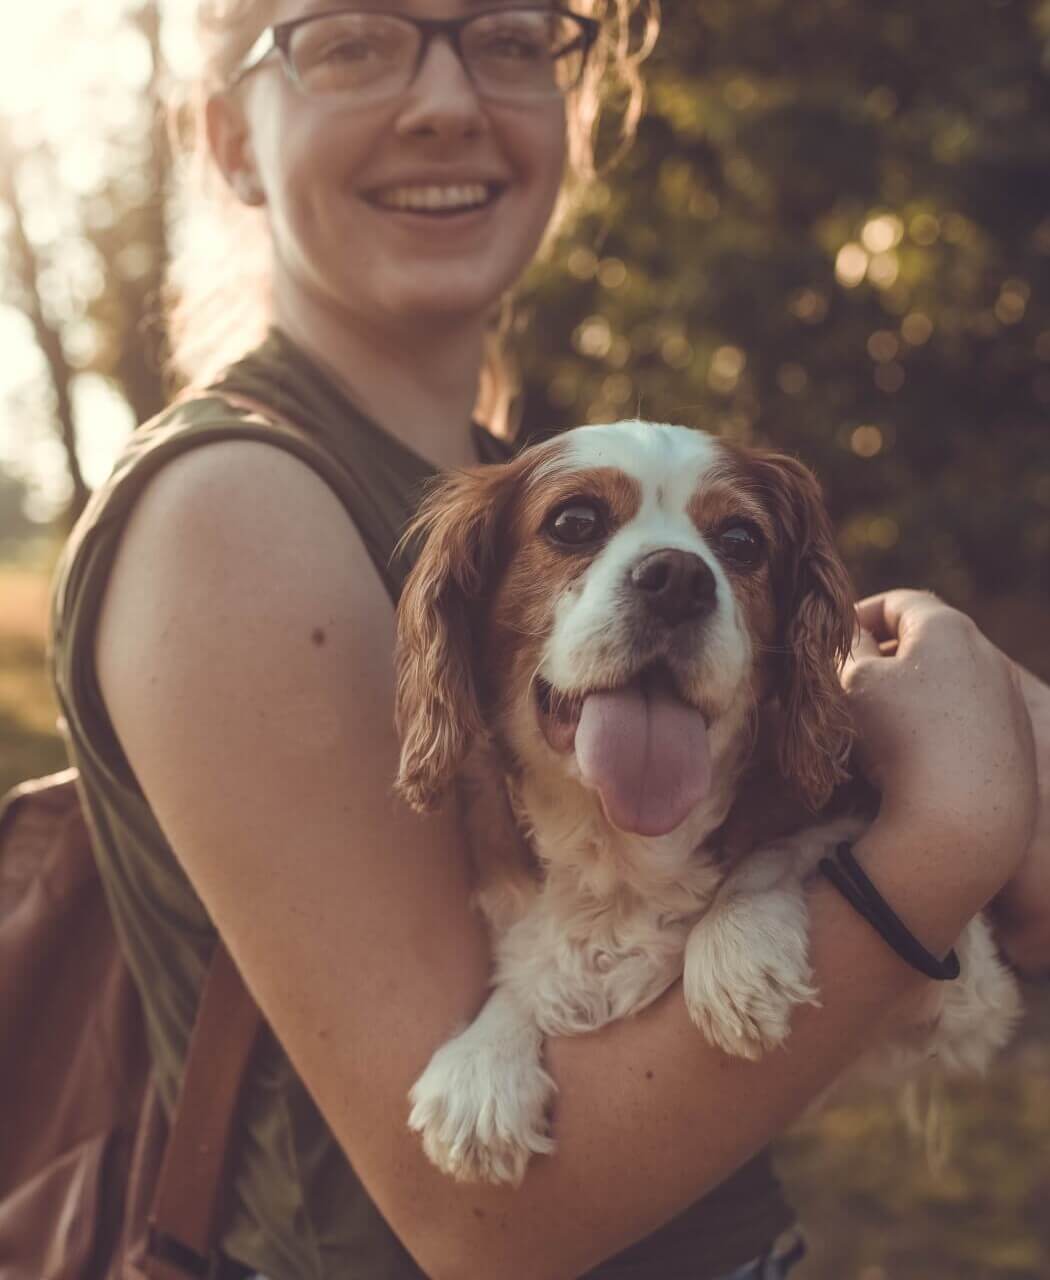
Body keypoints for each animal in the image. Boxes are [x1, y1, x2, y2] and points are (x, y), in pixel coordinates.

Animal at [389, 422, 1019, 1187]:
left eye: (743, 540)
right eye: (573, 523)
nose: (678, 578)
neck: (625, 849)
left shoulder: (968, 997)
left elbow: (791, 844)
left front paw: (736, 946)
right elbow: (534, 963)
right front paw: (485, 1059)